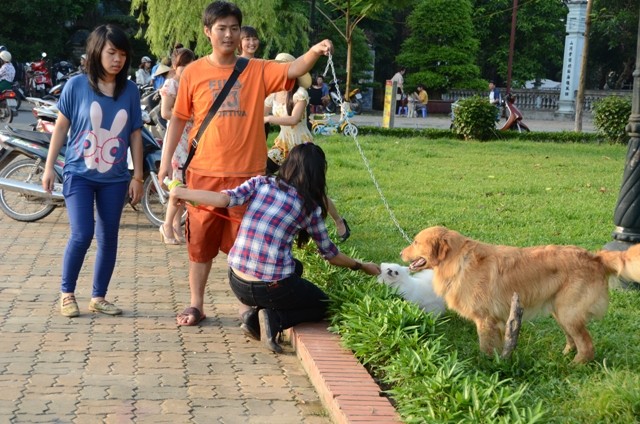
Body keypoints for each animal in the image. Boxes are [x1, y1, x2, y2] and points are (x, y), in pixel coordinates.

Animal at [400, 227, 640, 362]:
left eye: (415, 242)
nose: (401, 252)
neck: (457, 261)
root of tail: (595, 257)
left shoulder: (484, 319)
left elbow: (484, 348)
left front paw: (484, 368)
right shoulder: (496, 321)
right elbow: (496, 347)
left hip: (568, 313)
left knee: (587, 346)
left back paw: (574, 366)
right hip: (561, 312)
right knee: (573, 341)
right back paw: (563, 357)